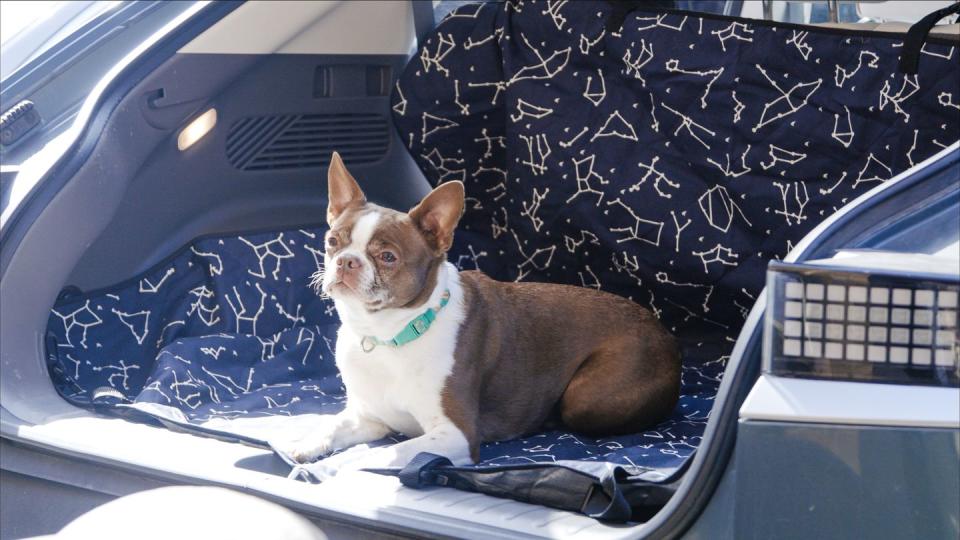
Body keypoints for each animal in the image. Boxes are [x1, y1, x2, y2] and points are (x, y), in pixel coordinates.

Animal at [276, 152, 684, 472]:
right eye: (332, 241)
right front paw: (305, 442)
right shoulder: (369, 417)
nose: (346, 261)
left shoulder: (454, 434)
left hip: (585, 398)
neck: (389, 335)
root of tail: (663, 332)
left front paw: (343, 463)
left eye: (387, 257)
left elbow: (387, 453)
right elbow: (332, 426)